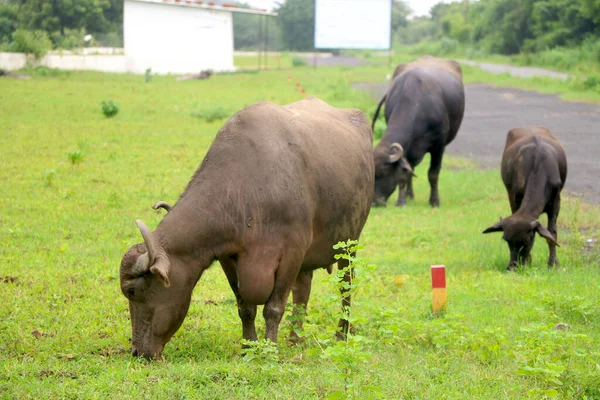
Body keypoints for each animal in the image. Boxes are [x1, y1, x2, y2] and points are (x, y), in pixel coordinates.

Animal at [118, 96, 376, 360]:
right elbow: (245, 307)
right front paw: (248, 346)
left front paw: (270, 349)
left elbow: (274, 308)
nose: (137, 351)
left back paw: (341, 334)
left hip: (349, 245)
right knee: (303, 290)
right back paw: (295, 339)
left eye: (132, 291)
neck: (247, 189)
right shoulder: (228, 256)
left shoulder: (292, 253)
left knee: (346, 287)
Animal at [372, 55, 466, 208]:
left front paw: (434, 201)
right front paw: (402, 201)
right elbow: (404, 175)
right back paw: (410, 195)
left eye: (384, 172)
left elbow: (433, 173)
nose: (374, 202)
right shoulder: (407, 148)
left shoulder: (439, 146)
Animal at [482, 126, 568, 270]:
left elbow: (551, 234)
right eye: (507, 241)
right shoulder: (514, 198)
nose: (512, 267)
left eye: (526, 242)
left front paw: (553, 263)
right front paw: (529, 261)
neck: (538, 165)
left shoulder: (556, 203)